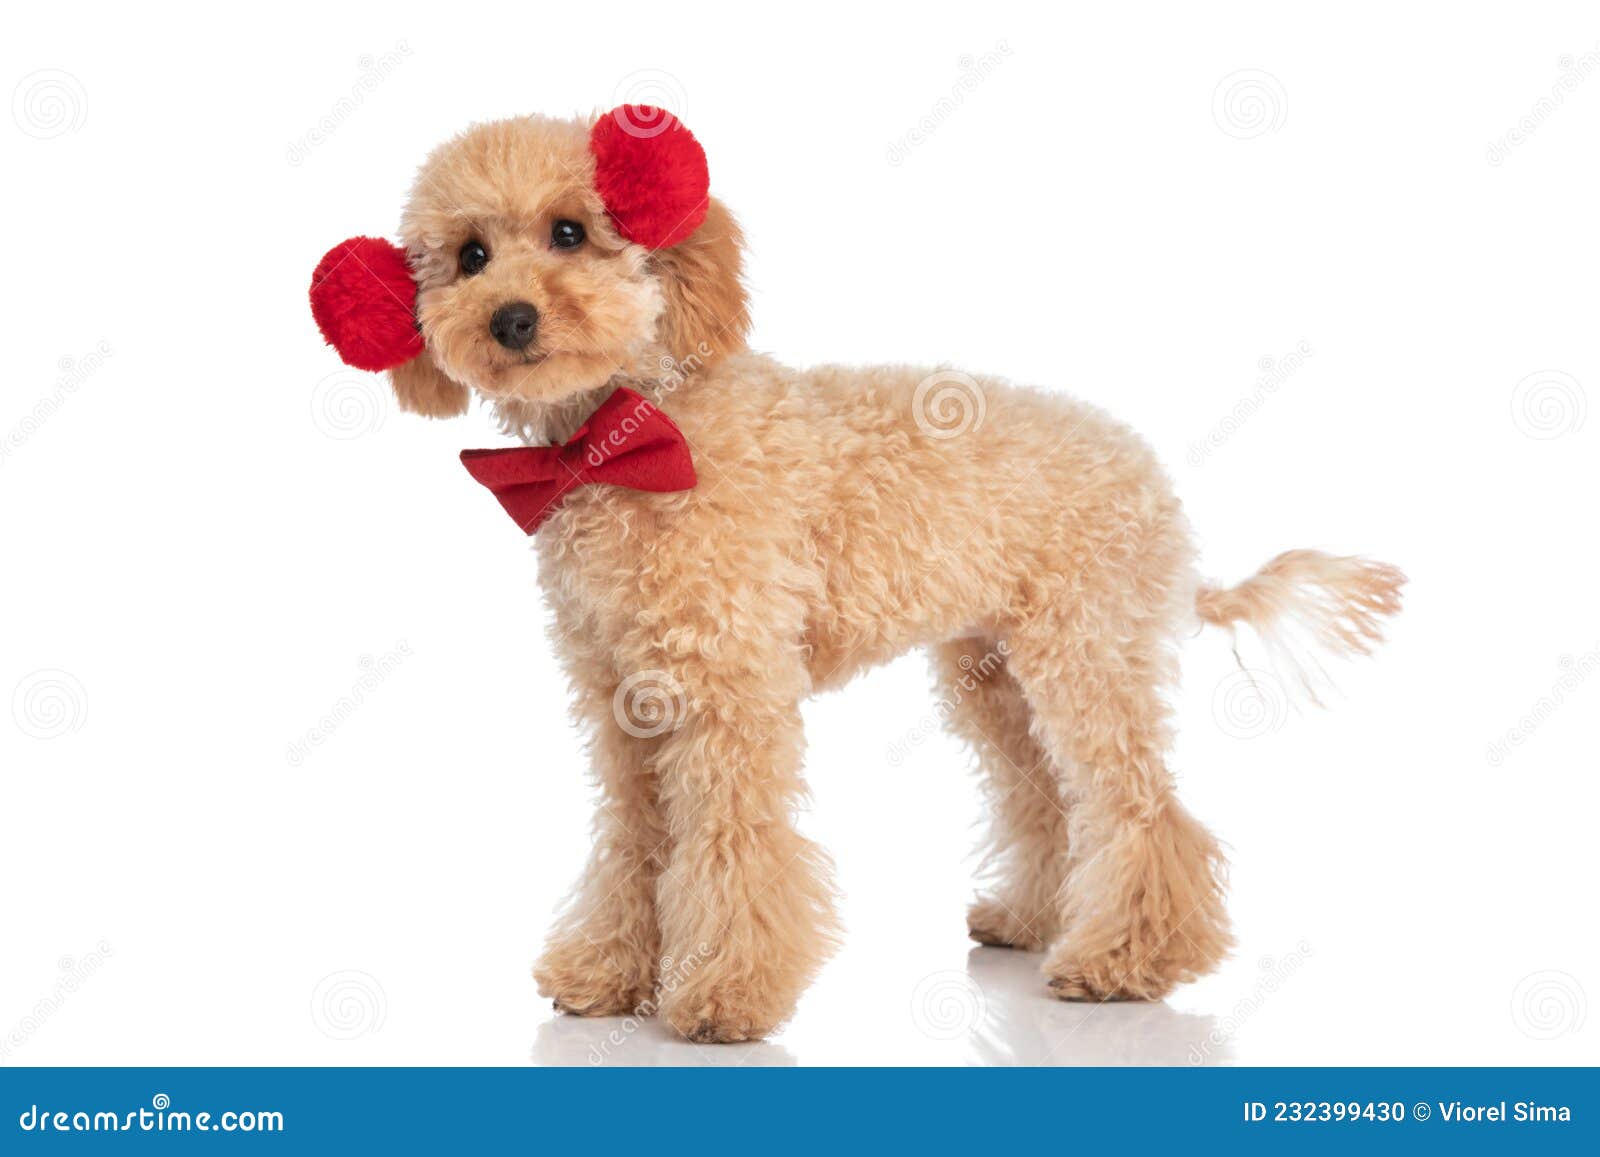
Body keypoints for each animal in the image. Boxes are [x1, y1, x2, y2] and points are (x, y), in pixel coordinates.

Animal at [356, 111, 1395, 1049]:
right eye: (470, 256)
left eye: (570, 231)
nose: (512, 319)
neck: (625, 440)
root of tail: (1156, 484)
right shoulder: (620, 696)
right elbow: (636, 838)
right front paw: (610, 973)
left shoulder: (731, 690)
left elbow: (735, 839)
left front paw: (725, 994)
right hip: (992, 676)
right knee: (1045, 801)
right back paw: (1033, 920)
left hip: (1085, 656)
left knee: (1142, 808)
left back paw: (1123, 960)